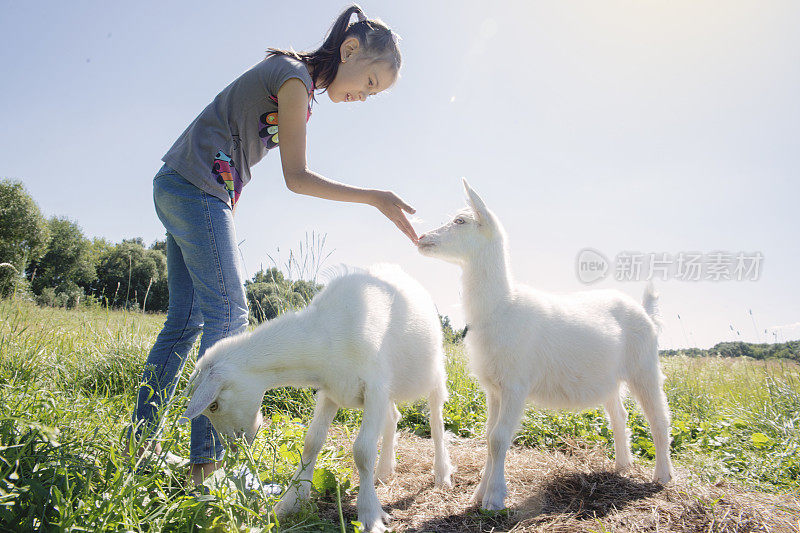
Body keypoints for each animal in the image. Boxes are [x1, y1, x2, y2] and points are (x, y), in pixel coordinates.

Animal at [184, 264, 454, 532]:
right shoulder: (332, 392)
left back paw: (442, 474)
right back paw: (384, 471)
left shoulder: (374, 387)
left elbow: (363, 451)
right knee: (392, 418)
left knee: (436, 419)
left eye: (214, 405)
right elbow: (312, 442)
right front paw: (291, 501)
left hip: (432, 371)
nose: (234, 446)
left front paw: (370, 515)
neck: (327, 336)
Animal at [416, 180, 672, 512]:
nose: (421, 238)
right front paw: (479, 494)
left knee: (659, 418)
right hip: (609, 378)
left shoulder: (516, 384)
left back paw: (662, 475)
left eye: (460, 221)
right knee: (619, 416)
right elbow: (488, 436)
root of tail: (645, 312)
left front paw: (494, 498)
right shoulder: (494, 387)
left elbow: (499, 438)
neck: (503, 305)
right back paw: (622, 464)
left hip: (644, 365)